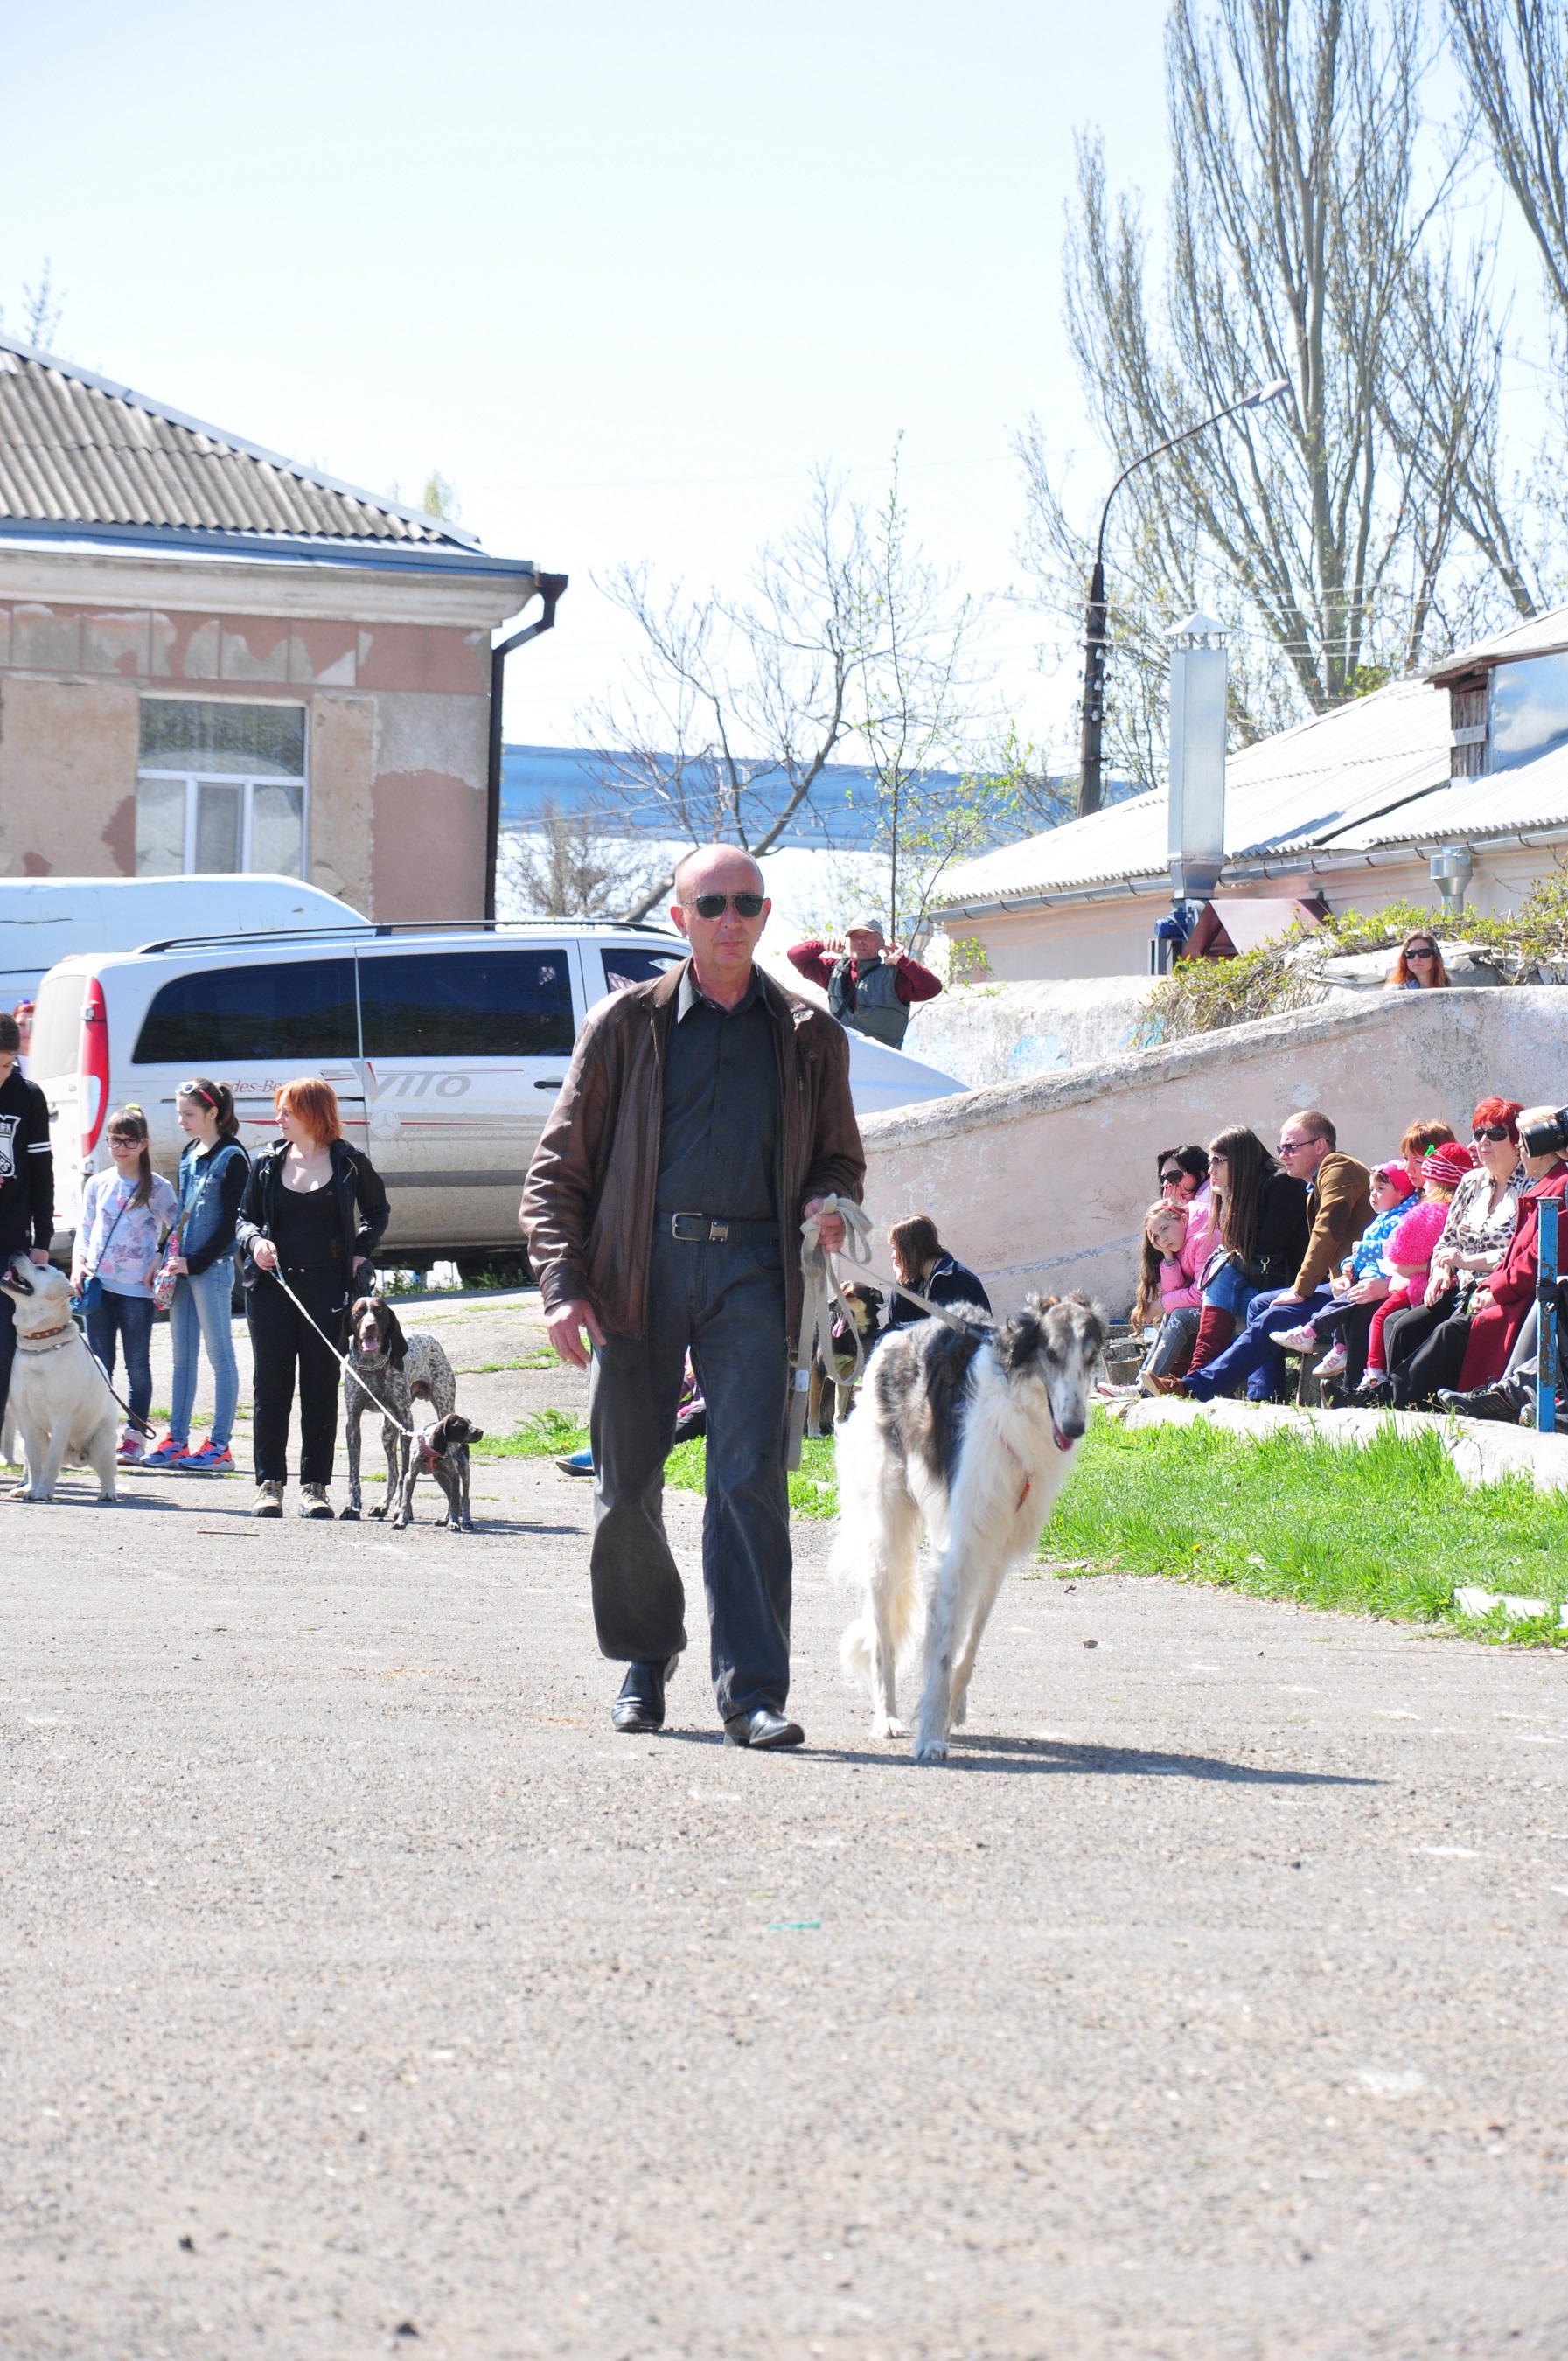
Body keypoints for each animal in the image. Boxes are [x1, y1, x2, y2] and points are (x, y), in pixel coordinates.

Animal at [0, 1257, 119, 1505]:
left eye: (41, 1267)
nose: (16, 1253)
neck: (40, 1342)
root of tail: (76, 1454)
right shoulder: (26, 1420)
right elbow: (35, 1462)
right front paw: (33, 1489)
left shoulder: (61, 1417)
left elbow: (51, 1463)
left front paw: (44, 1491)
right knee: (30, 1462)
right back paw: (25, 1488)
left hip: (102, 1442)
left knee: (107, 1471)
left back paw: (108, 1492)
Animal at [340, 1296, 457, 1521]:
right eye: (358, 1313)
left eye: (379, 1312)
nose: (370, 1326)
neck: (372, 1365)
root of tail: (427, 1336)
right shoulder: (353, 1422)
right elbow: (354, 1472)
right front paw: (353, 1507)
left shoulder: (406, 1421)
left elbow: (405, 1473)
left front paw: (402, 1509)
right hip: (387, 1431)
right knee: (392, 1472)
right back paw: (383, 1504)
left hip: (443, 1408)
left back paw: (447, 1515)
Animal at [392, 1411, 484, 1531]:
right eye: (461, 1425)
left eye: (470, 1422)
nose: (481, 1431)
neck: (431, 1450)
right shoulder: (410, 1476)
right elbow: (405, 1502)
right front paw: (401, 1522)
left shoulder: (454, 1475)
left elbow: (455, 1503)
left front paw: (454, 1523)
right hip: (439, 1477)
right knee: (451, 1496)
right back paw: (444, 1520)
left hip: (464, 1471)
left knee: (464, 1499)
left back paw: (467, 1522)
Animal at [807, 1280, 885, 1435]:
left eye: (850, 1295)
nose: (829, 1303)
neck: (849, 1335)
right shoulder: (818, 1369)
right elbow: (815, 1405)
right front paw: (814, 1433)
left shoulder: (847, 1374)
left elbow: (840, 1408)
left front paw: (839, 1429)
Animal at [833, 1291, 1107, 1763]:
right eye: (1052, 1354)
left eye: (1091, 1358)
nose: (1074, 1428)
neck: (1018, 1409)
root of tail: (894, 1336)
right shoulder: (963, 1544)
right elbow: (942, 1651)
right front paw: (930, 1735)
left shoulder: (995, 1547)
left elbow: (969, 1642)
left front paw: (950, 1711)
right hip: (885, 1531)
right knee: (883, 1634)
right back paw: (886, 1717)